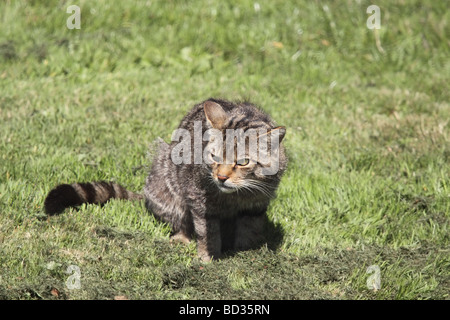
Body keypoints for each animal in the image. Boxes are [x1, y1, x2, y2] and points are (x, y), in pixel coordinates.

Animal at [44, 99, 286, 262]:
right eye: (214, 157)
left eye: (243, 162)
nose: (221, 177)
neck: (235, 197)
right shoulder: (200, 201)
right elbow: (208, 232)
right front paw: (207, 258)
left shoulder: (256, 206)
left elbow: (249, 231)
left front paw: (246, 256)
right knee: (178, 221)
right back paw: (182, 238)